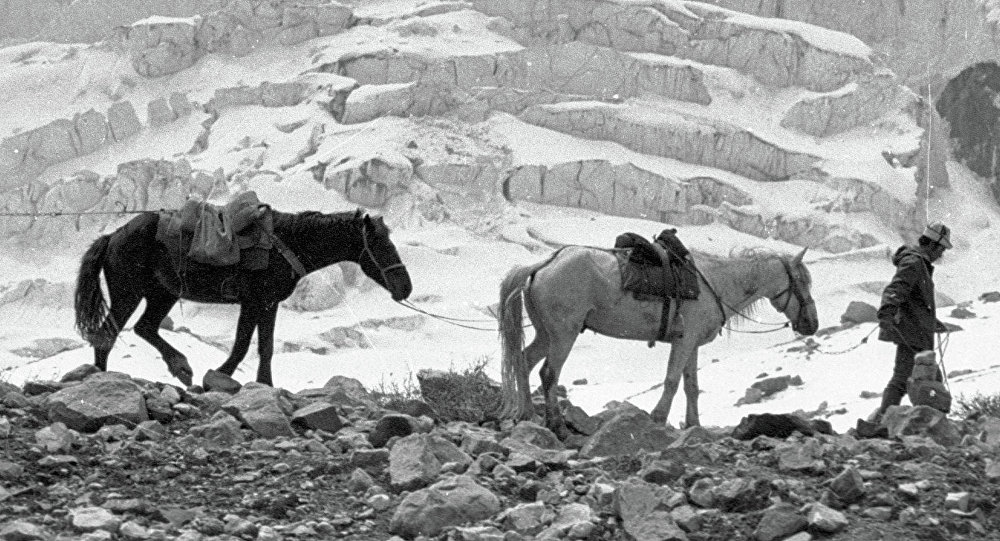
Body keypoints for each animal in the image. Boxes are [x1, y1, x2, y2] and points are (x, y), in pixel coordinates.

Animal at [72, 205, 410, 386]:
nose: (405, 287)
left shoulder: (265, 304)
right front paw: (225, 375)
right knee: (107, 335)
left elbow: (262, 346)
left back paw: (180, 367)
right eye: (381, 244)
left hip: (162, 294)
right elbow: (246, 345)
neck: (286, 244)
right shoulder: (256, 302)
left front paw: (260, 382)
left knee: (144, 328)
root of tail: (112, 236)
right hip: (128, 293)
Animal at [496, 247, 816, 436]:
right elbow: (672, 381)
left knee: (523, 361)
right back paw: (556, 425)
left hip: (546, 334)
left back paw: (526, 414)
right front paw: (658, 417)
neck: (715, 282)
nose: (812, 324)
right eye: (802, 280)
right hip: (564, 333)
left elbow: (691, 386)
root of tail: (543, 265)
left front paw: (694, 425)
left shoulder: (692, 345)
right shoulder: (683, 341)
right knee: (548, 373)